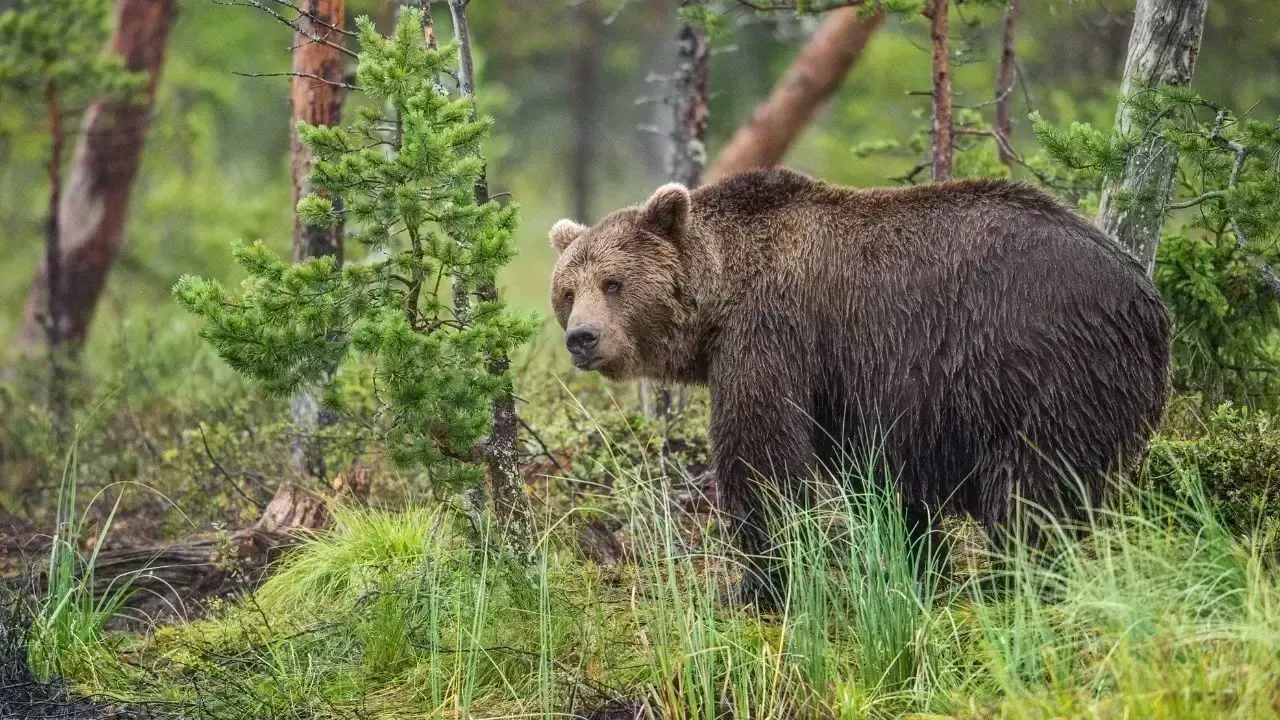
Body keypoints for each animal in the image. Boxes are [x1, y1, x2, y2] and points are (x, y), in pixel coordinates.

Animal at [548, 168, 1171, 602]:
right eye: (567, 290)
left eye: (613, 282)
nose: (581, 337)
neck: (720, 297)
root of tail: (1145, 296)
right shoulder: (850, 382)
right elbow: (877, 476)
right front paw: (917, 562)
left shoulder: (772, 335)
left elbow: (762, 457)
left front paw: (753, 586)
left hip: (1046, 363)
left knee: (1033, 486)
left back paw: (1014, 579)